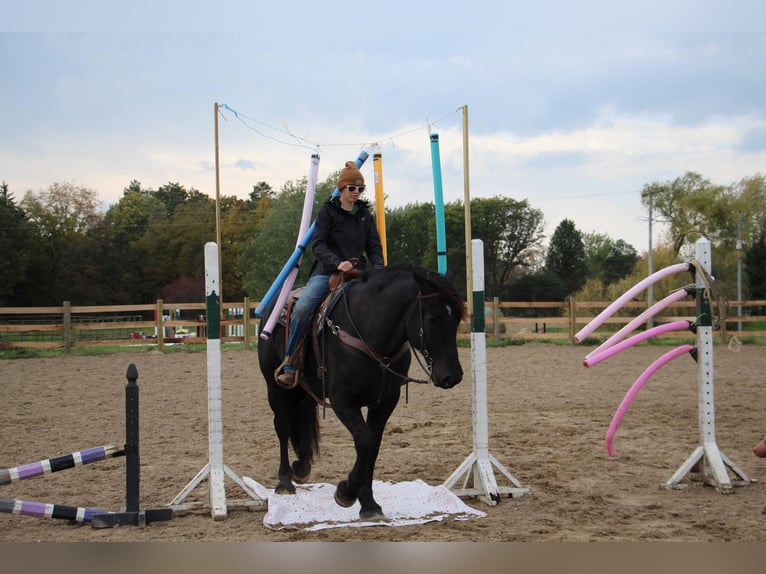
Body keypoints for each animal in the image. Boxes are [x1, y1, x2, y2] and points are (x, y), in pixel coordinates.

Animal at [256, 266, 468, 520]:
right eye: (432, 318)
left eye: (456, 319)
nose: (452, 376)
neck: (370, 333)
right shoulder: (343, 401)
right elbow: (365, 440)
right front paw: (346, 492)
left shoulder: (386, 401)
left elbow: (373, 446)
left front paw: (368, 503)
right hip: (274, 386)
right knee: (283, 426)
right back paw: (285, 481)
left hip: (305, 388)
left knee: (303, 416)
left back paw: (302, 467)